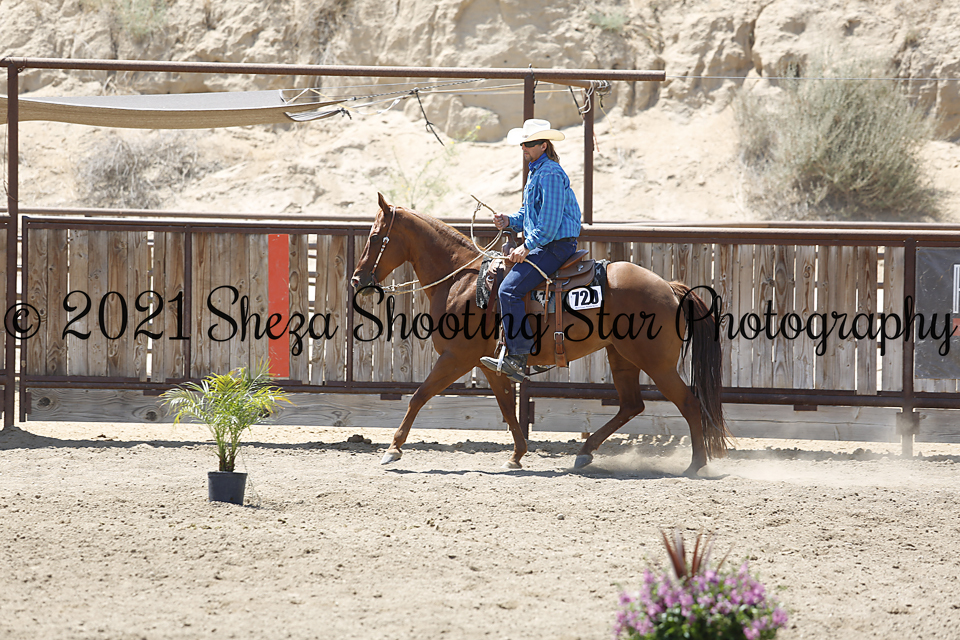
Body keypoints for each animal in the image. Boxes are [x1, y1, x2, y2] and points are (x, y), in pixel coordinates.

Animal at [350, 193, 730, 476]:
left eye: (374, 237)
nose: (356, 280)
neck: (462, 281)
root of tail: (669, 286)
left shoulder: (456, 358)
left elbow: (419, 395)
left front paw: (393, 449)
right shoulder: (489, 364)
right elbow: (507, 406)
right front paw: (517, 455)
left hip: (656, 362)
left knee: (688, 403)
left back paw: (696, 465)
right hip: (621, 356)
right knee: (631, 404)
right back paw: (584, 452)